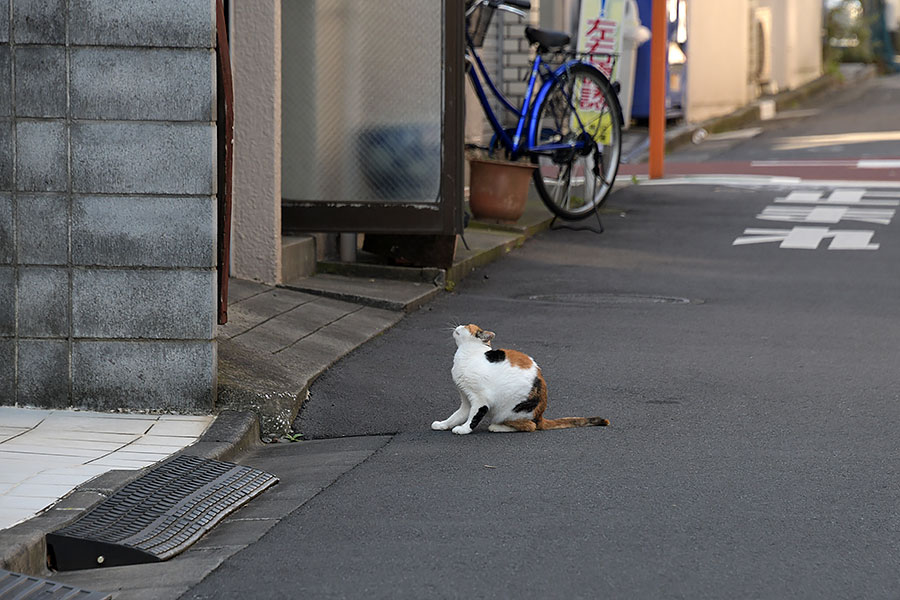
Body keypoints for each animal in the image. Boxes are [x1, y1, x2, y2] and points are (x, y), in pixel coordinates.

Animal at [430, 324, 612, 436]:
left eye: (467, 326)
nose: (458, 326)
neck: (468, 354)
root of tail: (540, 415)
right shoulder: (466, 400)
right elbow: (457, 415)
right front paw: (443, 424)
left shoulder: (480, 399)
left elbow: (473, 416)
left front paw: (464, 429)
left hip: (509, 409)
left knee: (530, 426)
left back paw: (496, 427)